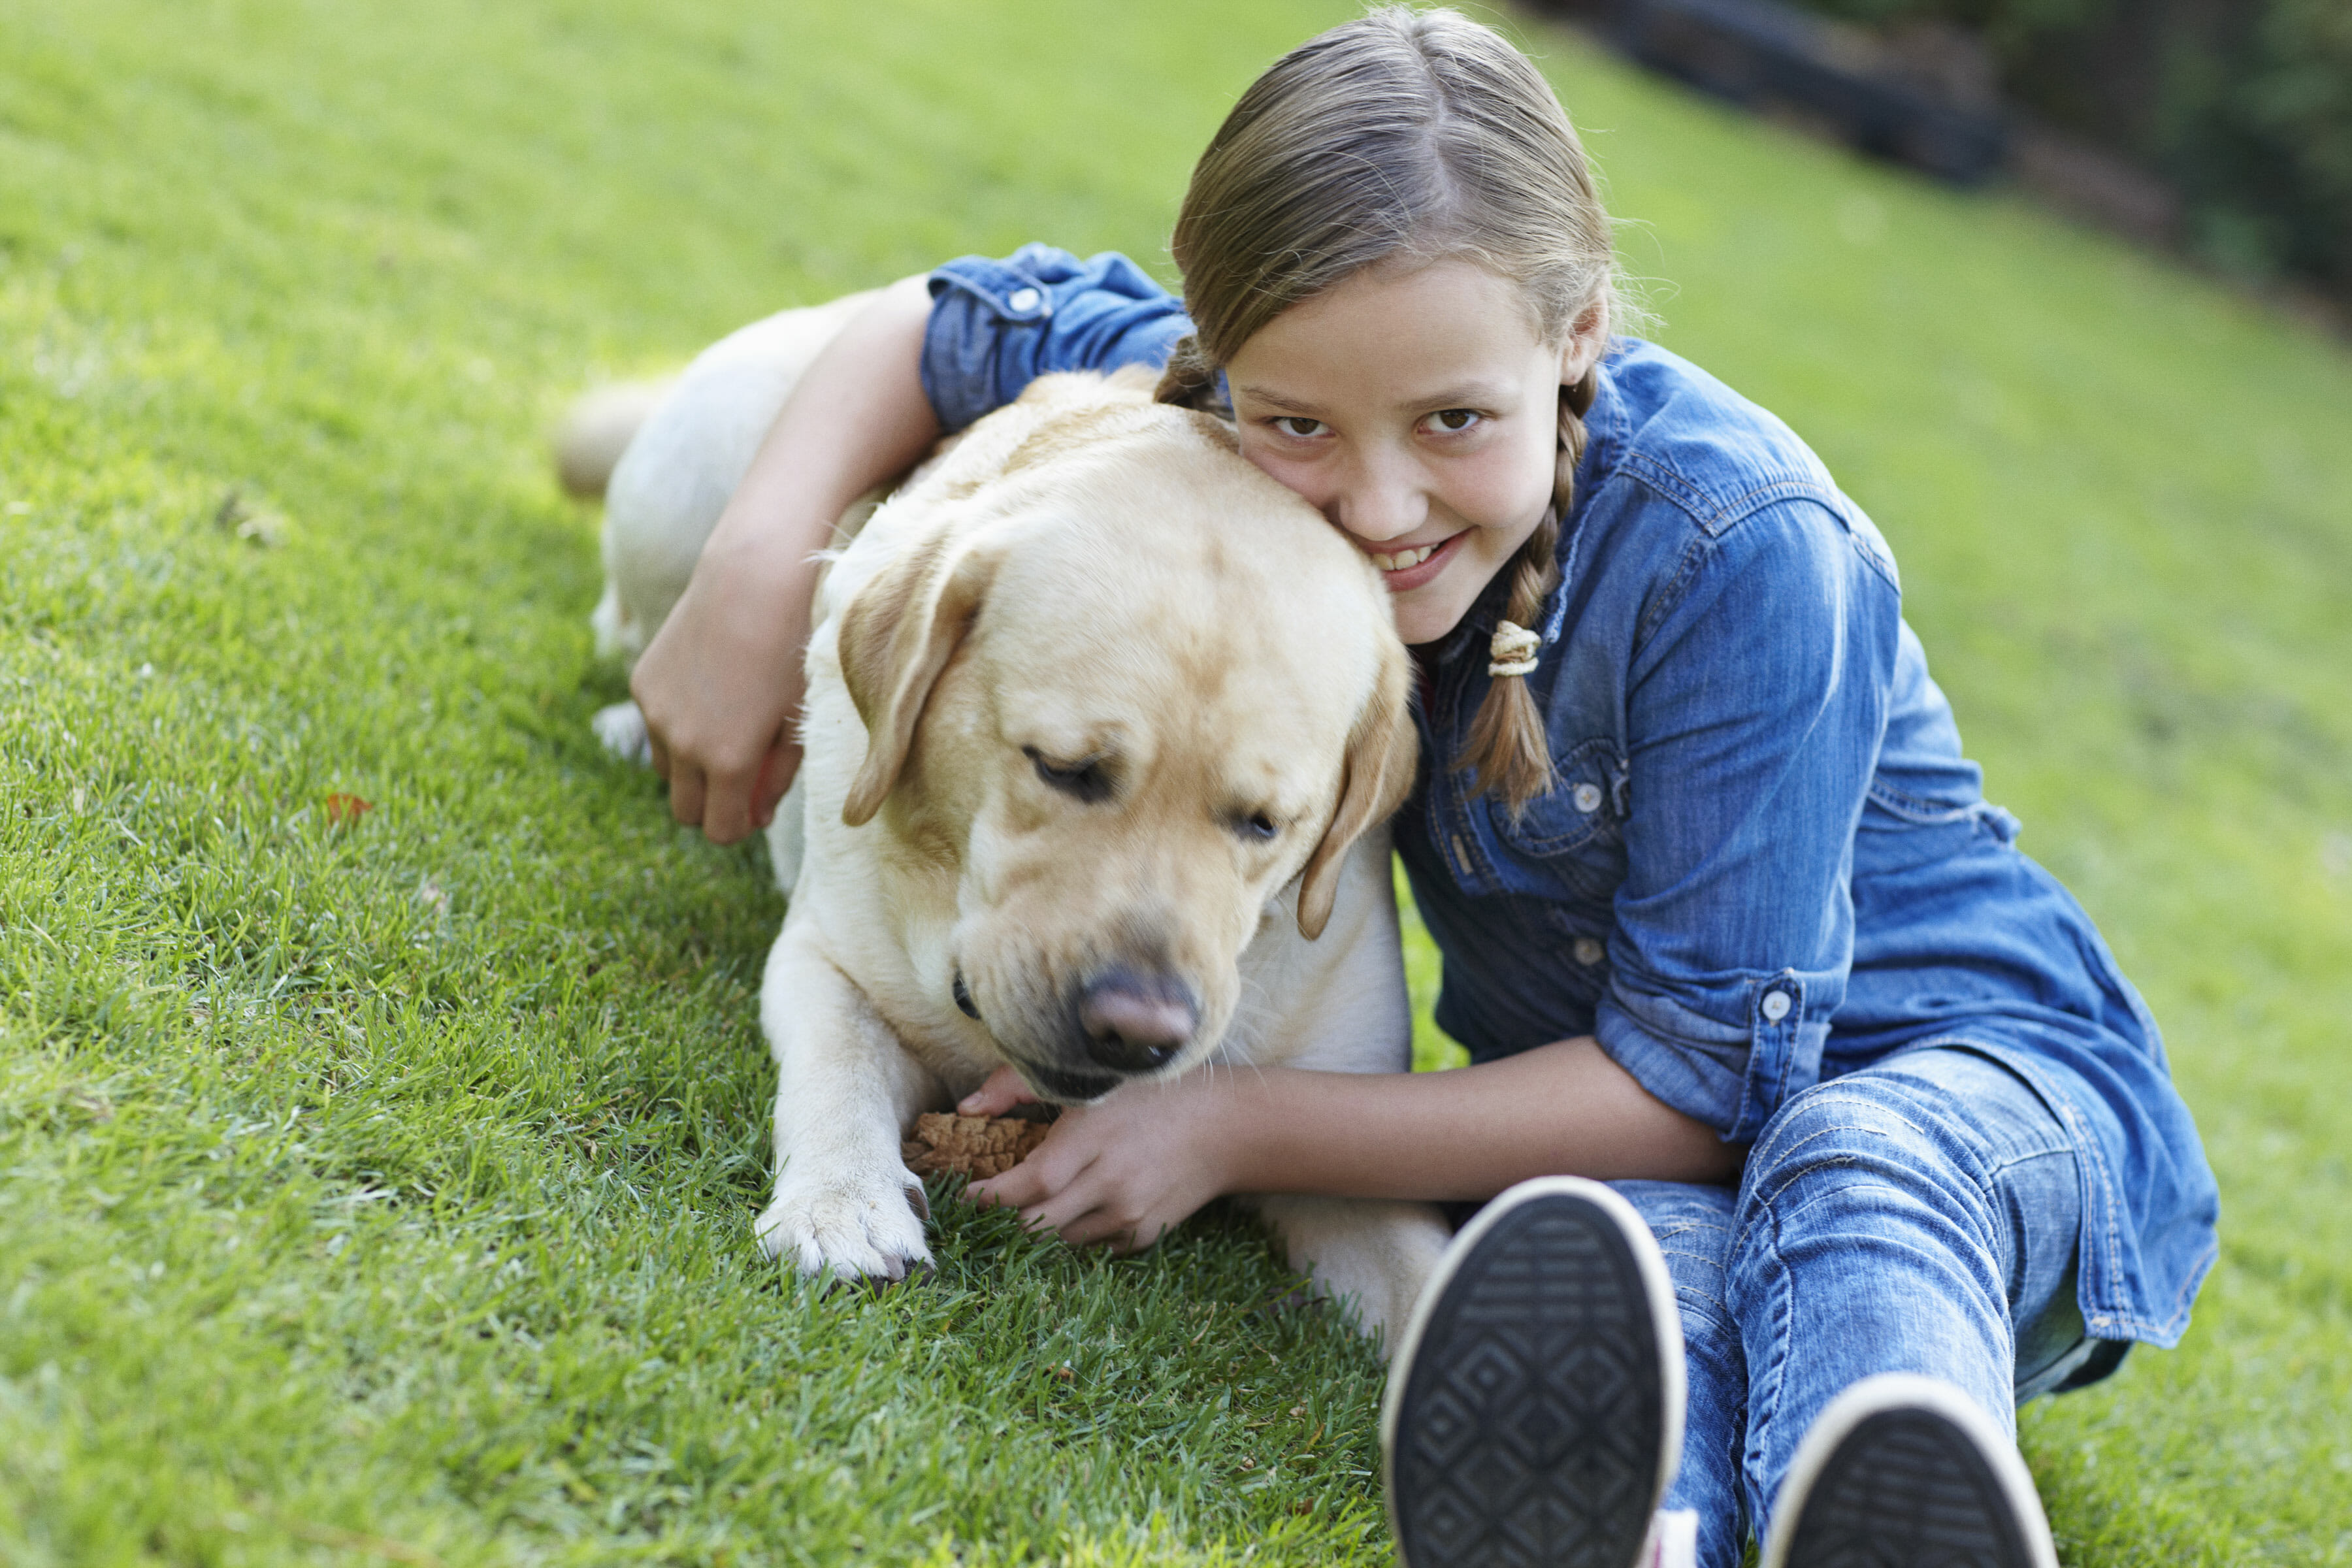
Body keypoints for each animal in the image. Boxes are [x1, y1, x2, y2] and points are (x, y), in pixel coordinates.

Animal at [569, 297, 1448, 1354]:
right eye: (1063, 769)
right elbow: (838, 1067)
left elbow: (1432, 1275)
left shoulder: (1336, 1127)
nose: (1137, 1031)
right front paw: (841, 1204)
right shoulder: (826, 959)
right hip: (687, 489)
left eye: (1267, 824)